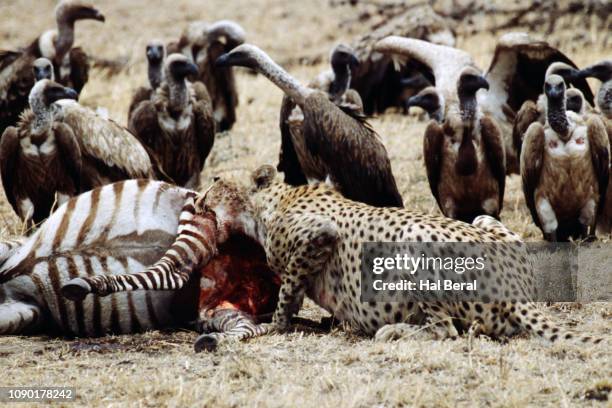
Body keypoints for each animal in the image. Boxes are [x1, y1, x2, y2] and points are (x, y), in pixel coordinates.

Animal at [202, 166, 608, 344]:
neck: (269, 203)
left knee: (446, 330)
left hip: (411, 239)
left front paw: (275, 324)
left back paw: (393, 330)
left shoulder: (319, 234)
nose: (200, 196)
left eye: (217, 180)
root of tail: (517, 290)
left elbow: (288, 290)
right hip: (484, 220)